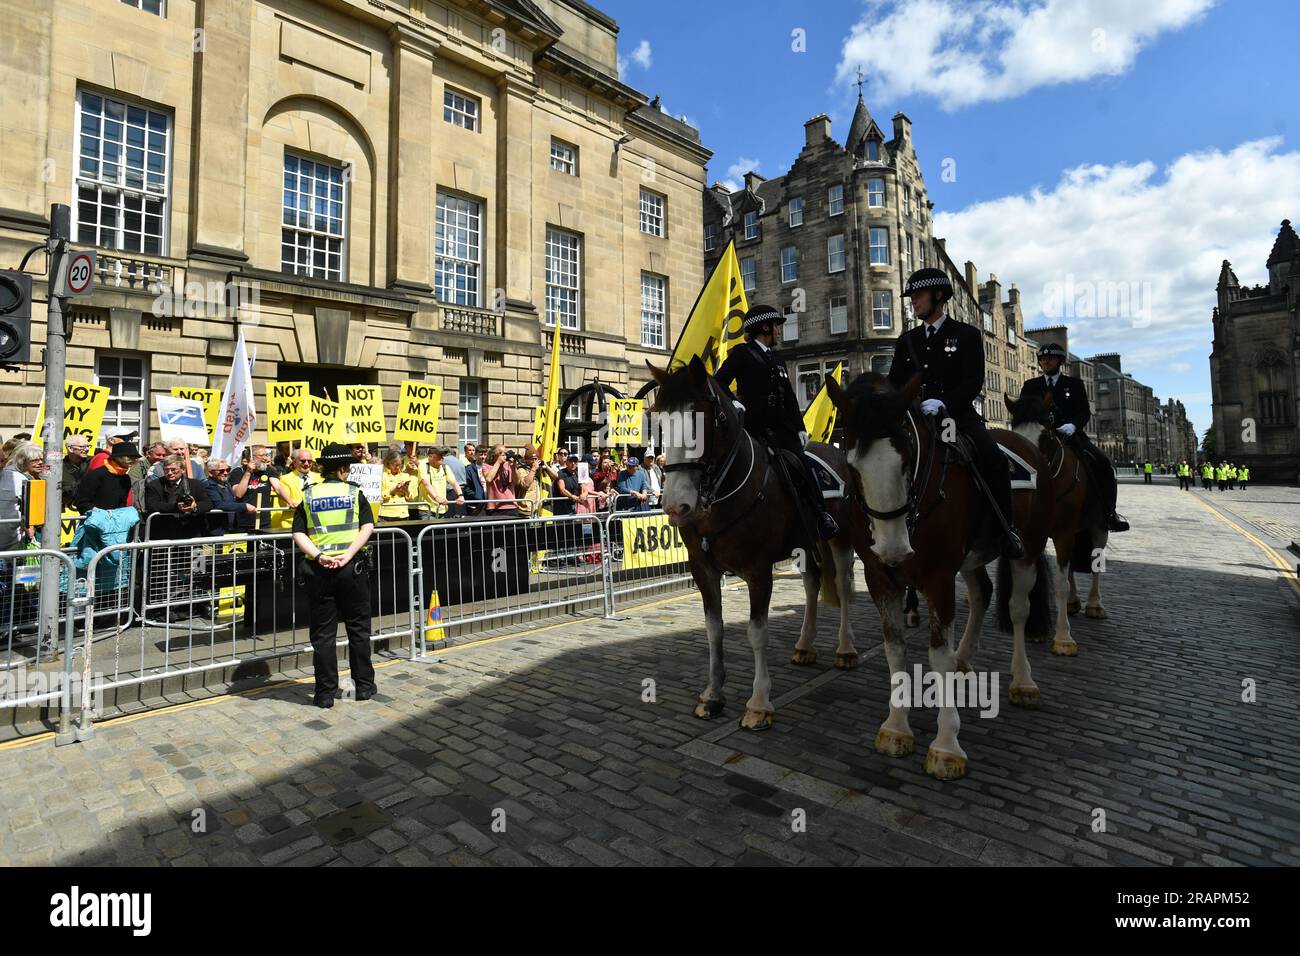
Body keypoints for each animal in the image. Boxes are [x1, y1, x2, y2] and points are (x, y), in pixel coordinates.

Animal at [650, 358, 873, 733]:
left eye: (701, 417)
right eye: (661, 420)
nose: (676, 506)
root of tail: (835, 449)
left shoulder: (758, 571)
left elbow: (757, 633)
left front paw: (758, 704)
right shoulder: (703, 570)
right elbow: (714, 628)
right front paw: (712, 695)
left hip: (841, 538)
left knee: (843, 586)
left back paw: (845, 649)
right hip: (805, 544)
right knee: (812, 584)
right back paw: (805, 645)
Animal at [832, 369, 1055, 780]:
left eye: (907, 457)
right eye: (851, 463)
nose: (892, 548)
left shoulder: (938, 578)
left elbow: (937, 656)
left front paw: (946, 745)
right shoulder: (879, 577)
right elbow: (895, 648)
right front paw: (896, 727)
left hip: (1027, 550)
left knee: (1018, 609)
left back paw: (1023, 681)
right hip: (970, 559)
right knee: (982, 592)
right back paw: (964, 656)